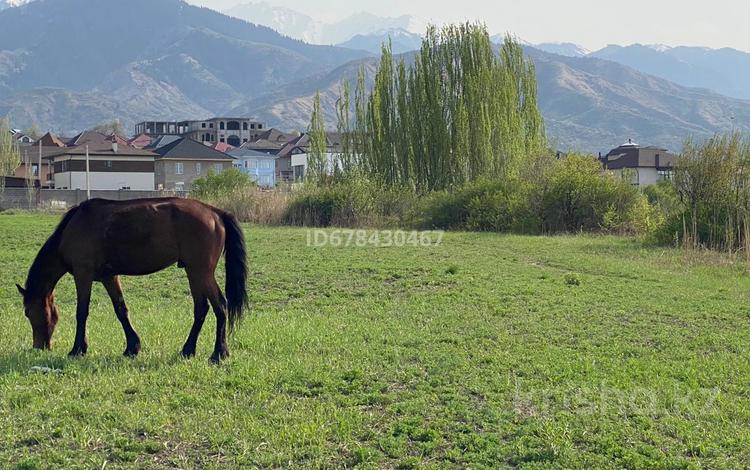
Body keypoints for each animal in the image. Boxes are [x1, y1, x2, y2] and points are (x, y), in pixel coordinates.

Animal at [15, 196, 250, 362]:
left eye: (28, 312)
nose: (39, 346)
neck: (73, 228)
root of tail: (215, 213)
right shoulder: (109, 277)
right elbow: (121, 310)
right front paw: (132, 347)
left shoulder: (83, 274)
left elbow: (82, 312)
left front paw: (77, 349)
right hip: (194, 272)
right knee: (201, 309)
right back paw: (188, 350)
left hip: (202, 271)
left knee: (220, 306)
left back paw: (219, 353)